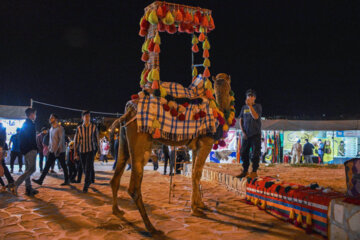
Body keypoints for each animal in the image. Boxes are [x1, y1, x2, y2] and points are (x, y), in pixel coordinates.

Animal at [110, 73, 233, 234]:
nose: (221, 82)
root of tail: (129, 111)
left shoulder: (196, 146)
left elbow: (195, 173)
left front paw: (200, 204)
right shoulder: (206, 142)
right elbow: (197, 173)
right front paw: (196, 209)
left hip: (124, 139)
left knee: (116, 176)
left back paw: (117, 211)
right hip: (140, 141)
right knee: (134, 187)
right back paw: (151, 227)